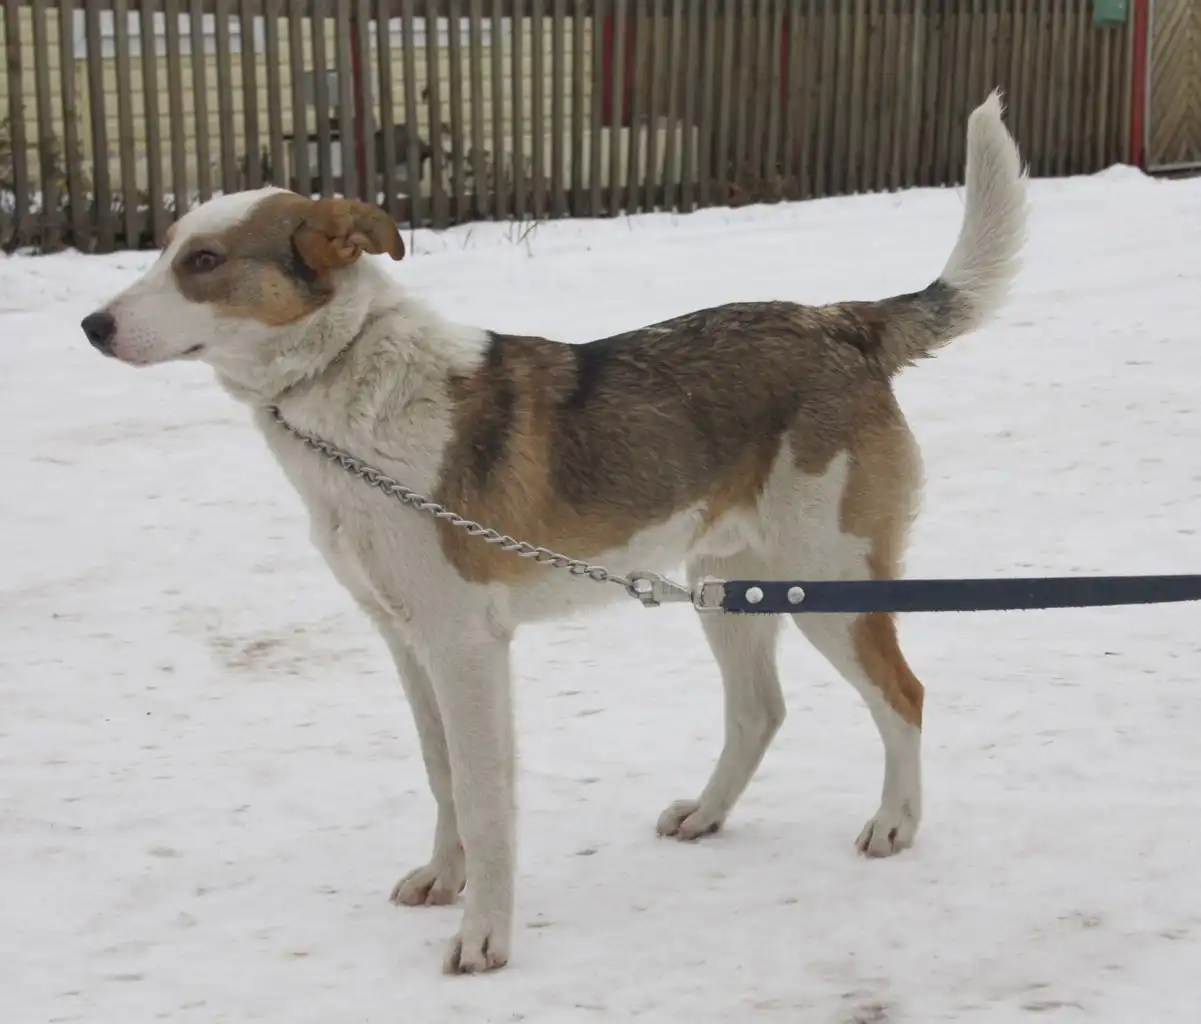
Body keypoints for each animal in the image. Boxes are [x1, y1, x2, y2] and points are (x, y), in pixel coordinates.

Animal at [82, 91, 1027, 975]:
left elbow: (483, 797)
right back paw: (707, 813)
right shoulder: (406, 641)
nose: (92, 326)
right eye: (164, 248)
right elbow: (442, 776)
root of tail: (839, 321)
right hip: (729, 587)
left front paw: (485, 938)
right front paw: (445, 880)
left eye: (203, 262)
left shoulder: (466, 648)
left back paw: (894, 823)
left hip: (826, 584)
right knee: (759, 710)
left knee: (902, 695)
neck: (344, 389)